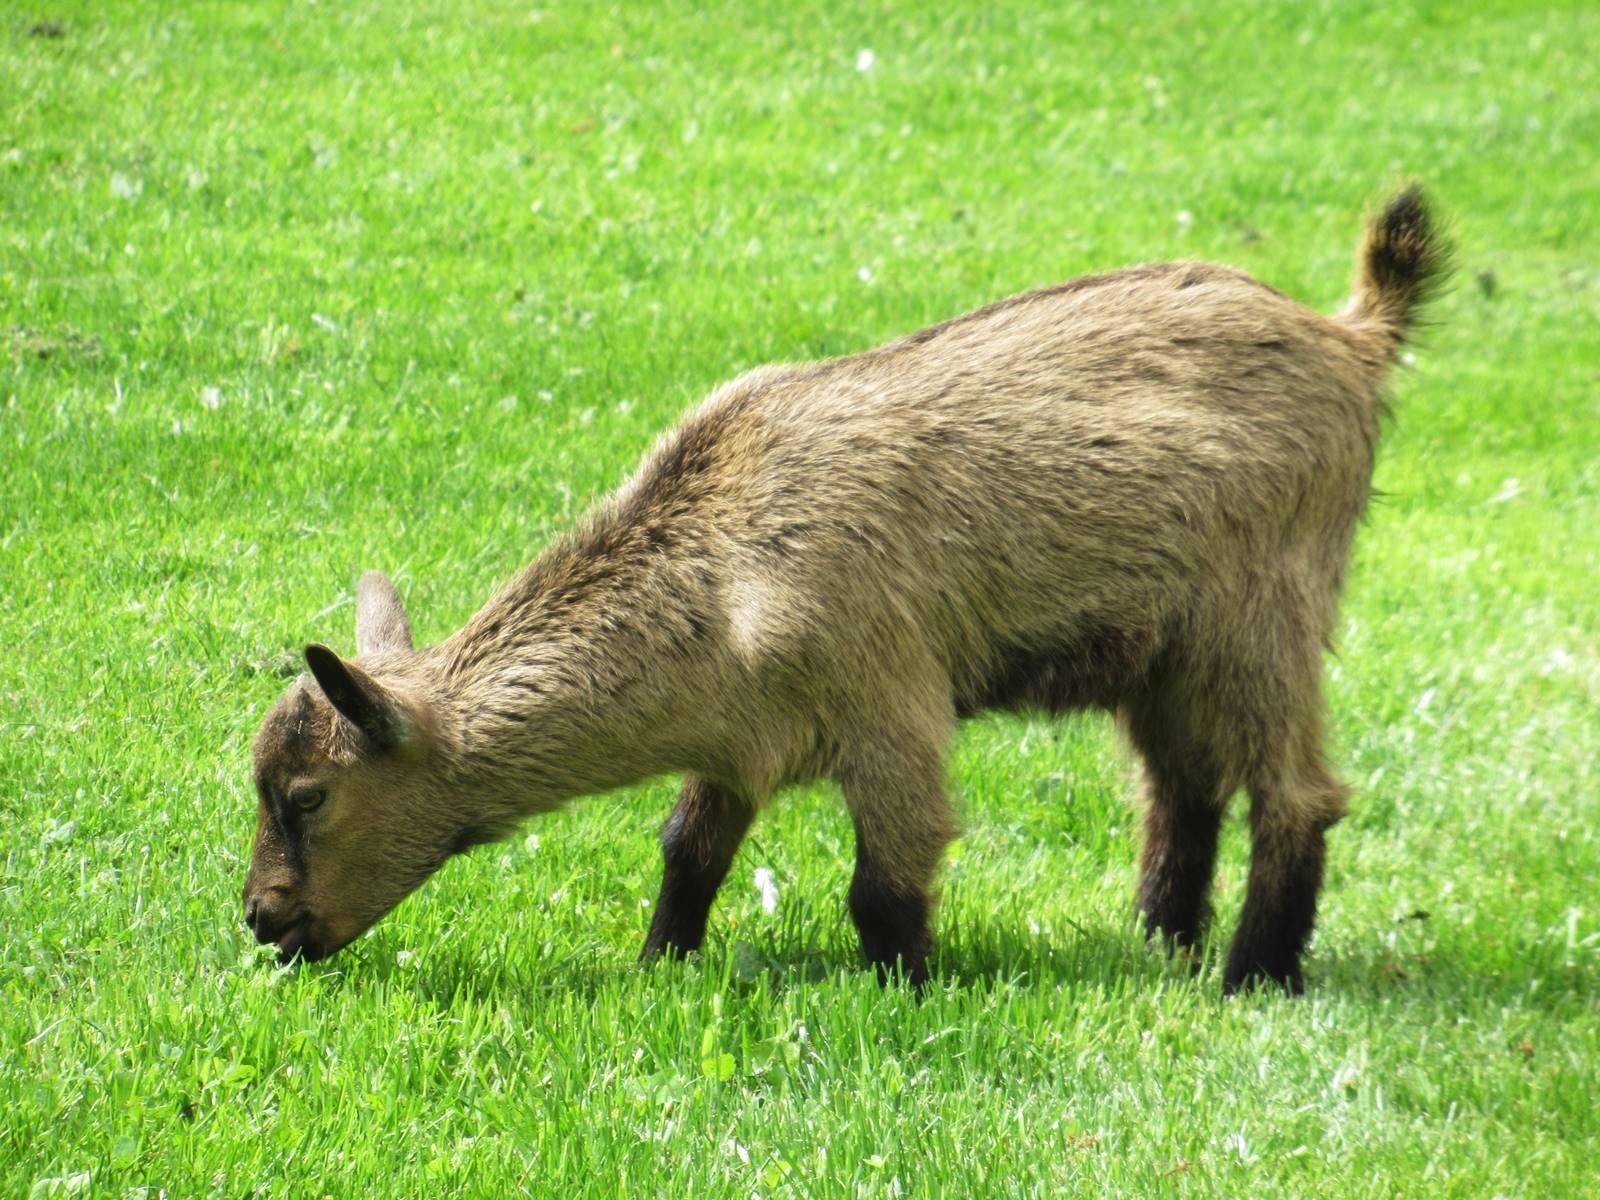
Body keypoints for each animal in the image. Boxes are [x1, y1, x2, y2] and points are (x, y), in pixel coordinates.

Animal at [240, 190, 1452, 998]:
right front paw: (659, 964)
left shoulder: (890, 705)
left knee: (1294, 791)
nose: (263, 920)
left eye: (309, 798)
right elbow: (687, 850)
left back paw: (1252, 975)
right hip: (1158, 650)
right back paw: (1163, 940)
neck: (722, 575)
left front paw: (906, 991)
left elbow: (886, 882)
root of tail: (1352, 337)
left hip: (1265, 610)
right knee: (1181, 785)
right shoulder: (736, 739)